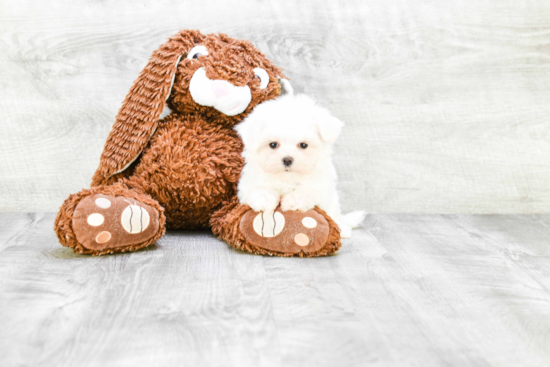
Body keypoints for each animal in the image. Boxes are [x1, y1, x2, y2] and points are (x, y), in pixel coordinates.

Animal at [234, 93, 366, 239]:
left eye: (303, 145)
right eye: (273, 144)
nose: (287, 159)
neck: (287, 178)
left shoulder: (320, 186)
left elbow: (307, 191)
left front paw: (291, 201)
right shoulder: (247, 184)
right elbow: (257, 189)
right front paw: (265, 200)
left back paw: (342, 229)